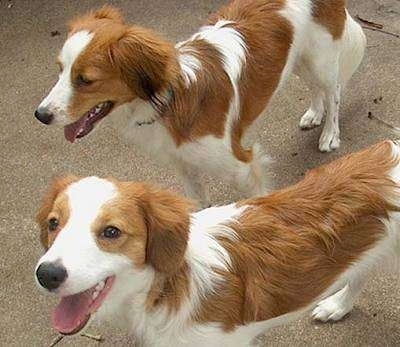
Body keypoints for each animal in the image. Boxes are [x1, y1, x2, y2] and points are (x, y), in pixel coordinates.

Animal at [34, 0, 366, 207]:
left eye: (85, 80)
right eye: (60, 69)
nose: (40, 115)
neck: (169, 101)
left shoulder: (242, 165)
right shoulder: (186, 168)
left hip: (321, 59)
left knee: (333, 91)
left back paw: (330, 134)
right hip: (296, 60)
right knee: (316, 88)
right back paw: (314, 114)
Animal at [35, 141, 400, 346]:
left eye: (111, 232)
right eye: (54, 224)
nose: (46, 274)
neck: (170, 286)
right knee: (361, 272)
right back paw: (338, 306)